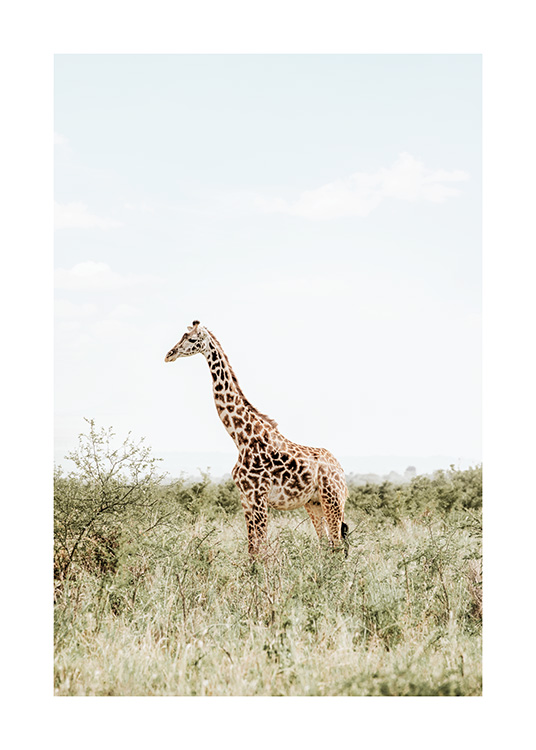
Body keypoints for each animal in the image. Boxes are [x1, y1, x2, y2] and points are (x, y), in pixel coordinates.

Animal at [165, 321, 349, 557]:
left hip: (333, 500)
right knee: (327, 544)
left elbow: (261, 549)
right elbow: (252, 549)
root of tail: (341, 471)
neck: (241, 438)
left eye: (192, 339)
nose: (169, 354)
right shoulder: (245, 498)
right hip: (314, 503)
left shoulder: (259, 496)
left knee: (338, 546)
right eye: (182, 336)